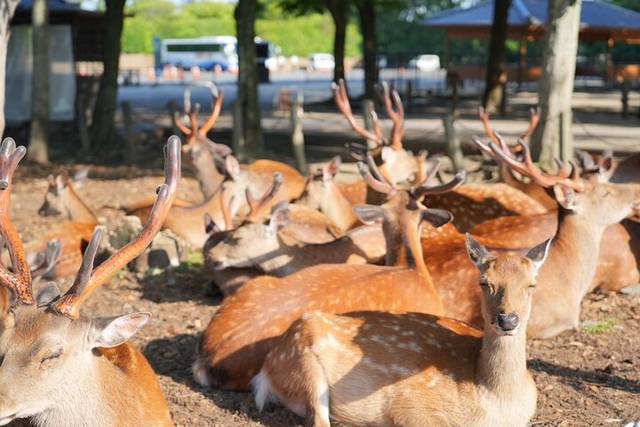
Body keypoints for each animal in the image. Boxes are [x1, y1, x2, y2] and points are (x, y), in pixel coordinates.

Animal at [254, 235, 550, 427]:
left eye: (532, 285)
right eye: (484, 282)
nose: (507, 320)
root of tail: (265, 369)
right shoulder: (411, 403)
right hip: (305, 367)